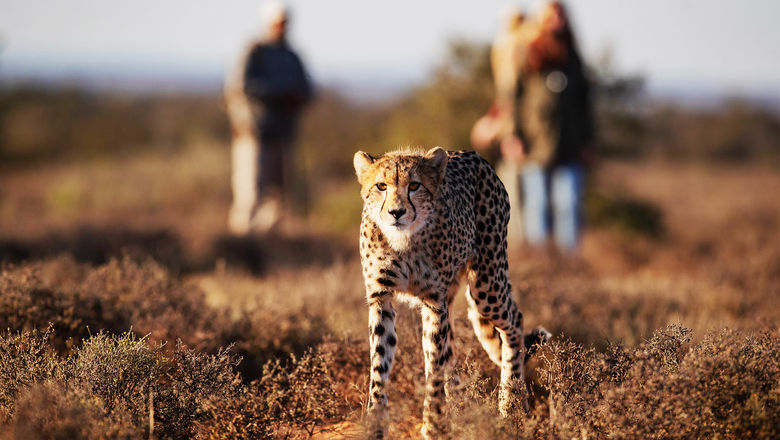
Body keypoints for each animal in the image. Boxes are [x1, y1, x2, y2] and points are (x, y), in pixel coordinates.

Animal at [354, 147, 548, 436]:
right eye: (381, 186)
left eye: (414, 186)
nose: (396, 212)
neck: (404, 240)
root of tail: (473, 155)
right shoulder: (381, 299)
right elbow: (380, 365)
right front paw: (376, 425)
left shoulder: (434, 301)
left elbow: (434, 366)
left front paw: (433, 425)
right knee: (452, 350)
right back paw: (460, 406)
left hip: (486, 284)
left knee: (514, 320)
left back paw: (510, 402)